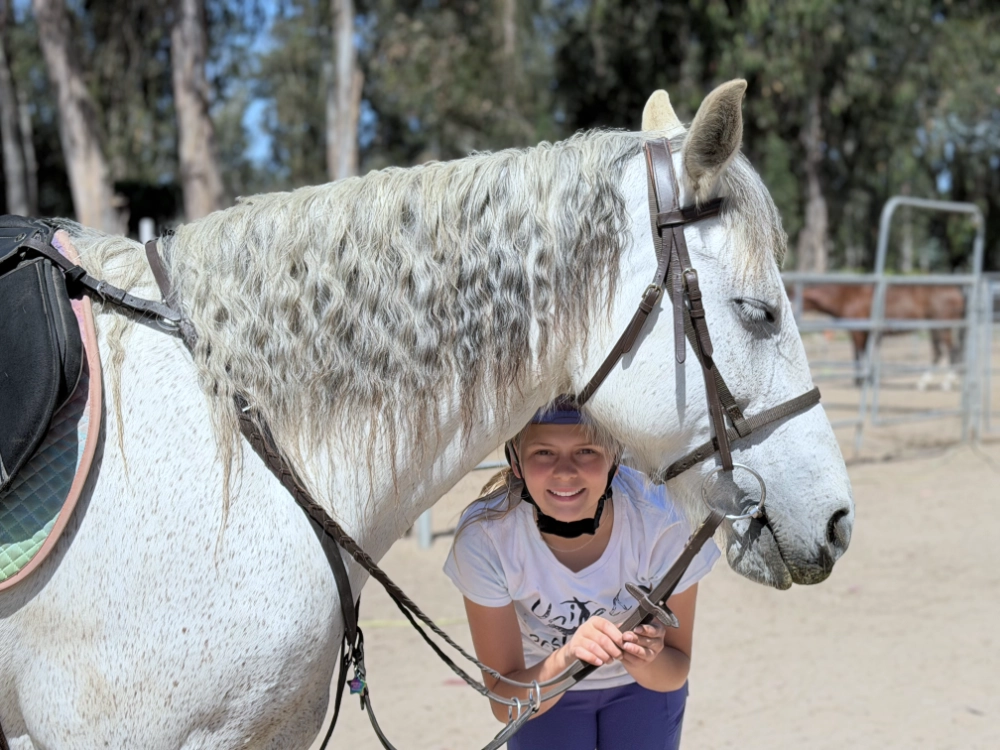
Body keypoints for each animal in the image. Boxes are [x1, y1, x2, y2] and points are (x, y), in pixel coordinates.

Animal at [796, 283, 965, 389]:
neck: (848, 297)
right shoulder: (866, 334)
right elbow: (864, 356)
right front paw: (867, 380)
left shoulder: (858, 333)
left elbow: (860, 356)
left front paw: (861, 381)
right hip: (935, 329)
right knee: (941, 352)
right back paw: (928, 381)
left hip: (941, 328)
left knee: (950, 351)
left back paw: (945, 382)